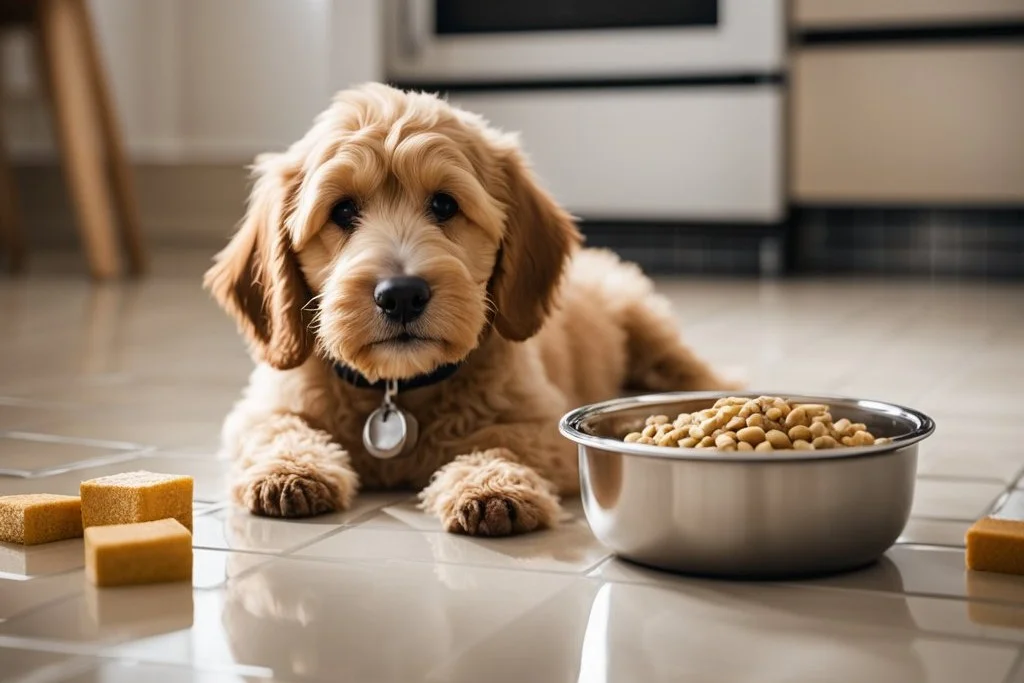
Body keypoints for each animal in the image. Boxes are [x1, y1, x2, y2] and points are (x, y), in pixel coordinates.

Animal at [205, 82, 737, 536]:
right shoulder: (261, 407)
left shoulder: (539, 420)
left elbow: (498, 439)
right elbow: (275, 427)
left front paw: (490, 484)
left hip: (650, 331)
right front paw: (290, 468)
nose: (401, 294)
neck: (397, 390)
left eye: (444, 205)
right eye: (342, 210)